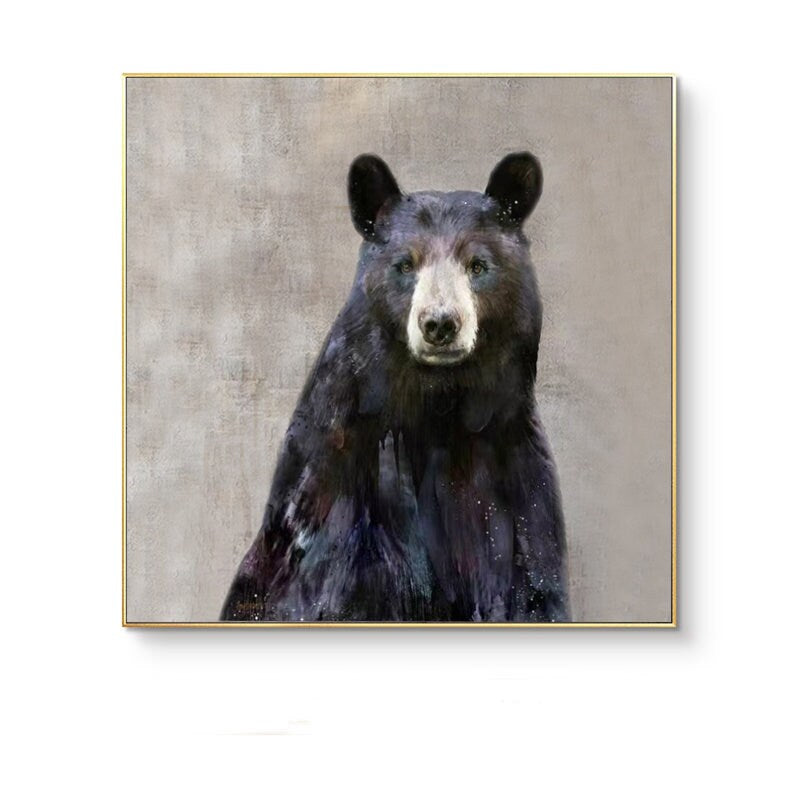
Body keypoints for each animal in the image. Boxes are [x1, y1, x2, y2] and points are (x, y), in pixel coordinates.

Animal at [221, 152, 570, 623]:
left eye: (478, 265)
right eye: (405, 264)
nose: (439, 323)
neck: (437, 407)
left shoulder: (517, 484)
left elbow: (532, 586)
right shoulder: (334, 488)